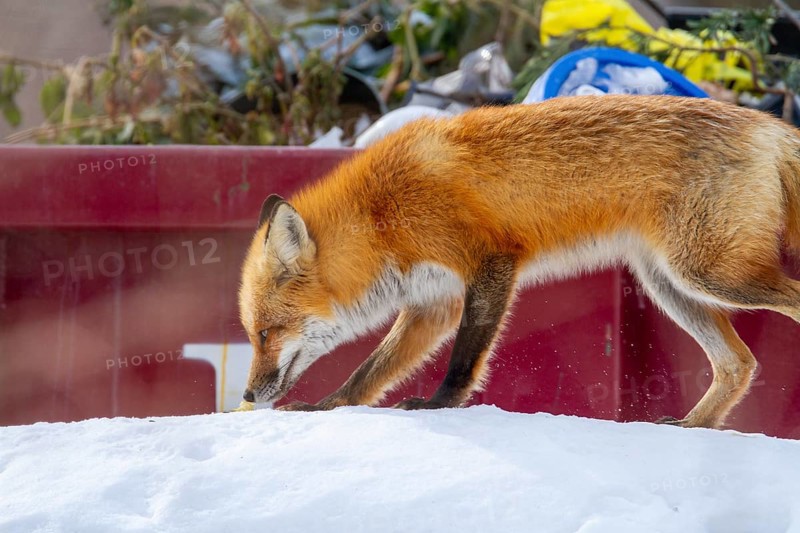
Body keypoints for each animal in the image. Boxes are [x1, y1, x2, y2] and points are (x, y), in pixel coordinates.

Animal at [238, 95, 800, 428]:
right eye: (251, 335)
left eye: (266, 332)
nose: (247, 393)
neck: (382, 216)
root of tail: (770, 125)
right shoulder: (433, 303)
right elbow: (369, 372)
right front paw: (326, 409)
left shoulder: (489, 263)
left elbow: (464, 358)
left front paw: (440, 405)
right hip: (668, 283)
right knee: (738, 364)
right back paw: (692, 426)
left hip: (709, 274)